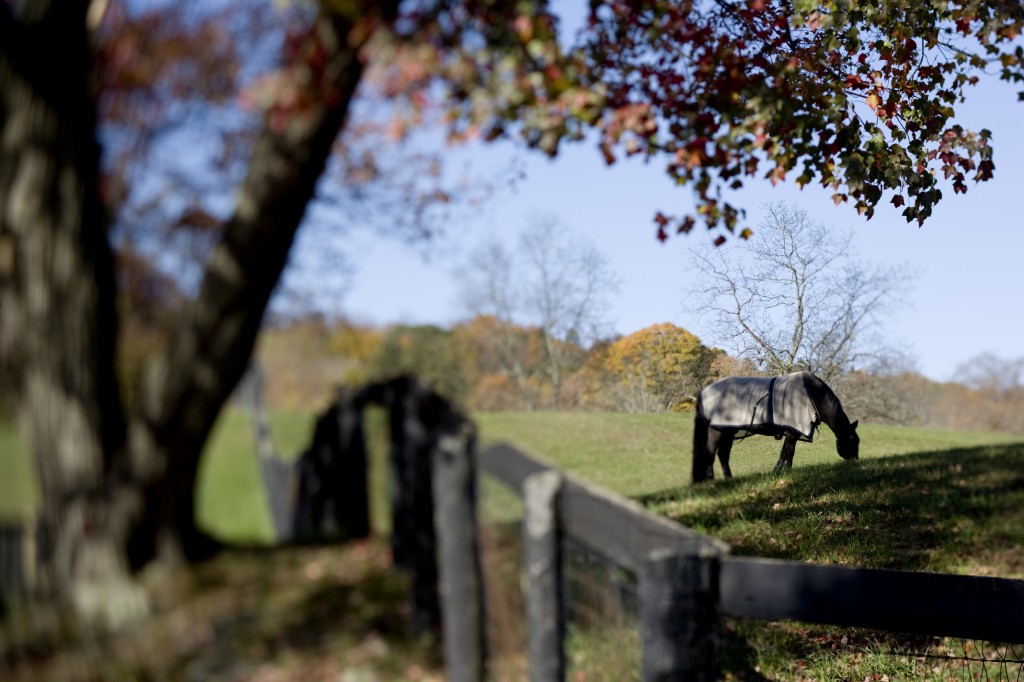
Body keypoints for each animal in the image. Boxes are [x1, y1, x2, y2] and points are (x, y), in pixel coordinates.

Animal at [692, 371, 859, 483]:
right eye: (852, 441)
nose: (856, 462)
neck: (813, 394)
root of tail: (704, 392)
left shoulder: (793, 432)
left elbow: (787, 452)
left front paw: (783, 471)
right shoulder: (792, 431)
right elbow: (787, 451)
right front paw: (782, 471)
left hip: (729, 431)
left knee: (723, 455)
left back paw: (729, 479)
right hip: (716, 430)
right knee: (710, 453)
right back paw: (712, 481)